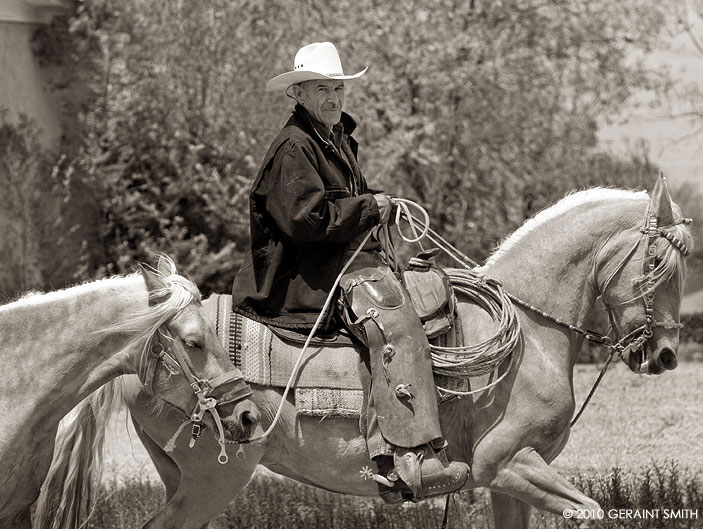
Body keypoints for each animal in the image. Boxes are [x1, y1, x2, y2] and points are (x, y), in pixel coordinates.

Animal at [40, 183, 692, 528]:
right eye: (661, 264)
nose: (664, 354)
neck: (530, 336)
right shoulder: (508, 464)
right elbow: (592, 509)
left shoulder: (510, 485)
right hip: (213, 478)